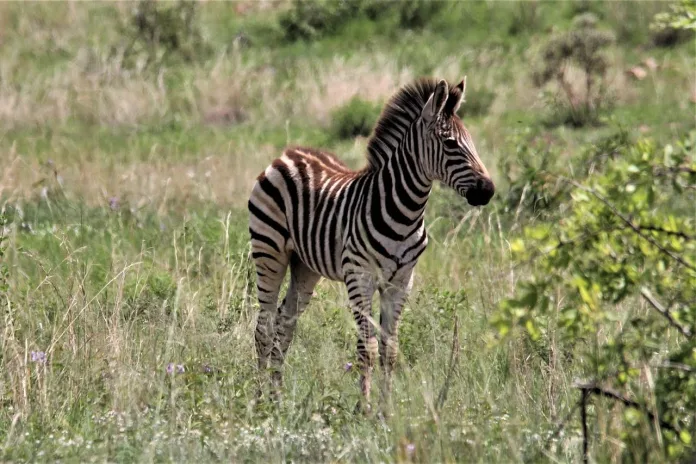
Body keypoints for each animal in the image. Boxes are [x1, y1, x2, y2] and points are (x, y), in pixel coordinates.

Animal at [248, 77, 494, 407]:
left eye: (471, 141)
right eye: (451, 143)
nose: (489, 190)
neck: (405, 213)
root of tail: (288, 154)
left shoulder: (401, 282)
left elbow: (390, 350)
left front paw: (384, 409)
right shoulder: (360, 277)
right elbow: (368, 348)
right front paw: (363, 408)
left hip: (304, 266)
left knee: (285, 323)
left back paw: (277, 396)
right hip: (269, 251)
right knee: (264, 326)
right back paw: (259, 400)